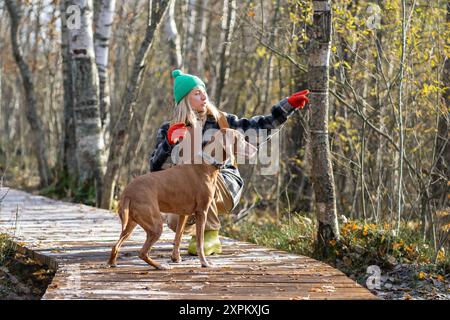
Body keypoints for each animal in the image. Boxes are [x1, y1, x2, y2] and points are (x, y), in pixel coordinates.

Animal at [108, 127, 256, 270]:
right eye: (241, 139)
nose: (256, 149)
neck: (207, 163)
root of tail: (127, 192)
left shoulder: (183, 214)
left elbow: (178, 237)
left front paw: (176, 258)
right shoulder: (202, 212)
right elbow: (200, 242)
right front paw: (204, 263)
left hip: (131, 224)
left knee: (116, 245)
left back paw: (113, 263)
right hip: (155, 225)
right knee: (142, 252)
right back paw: (160, 266)